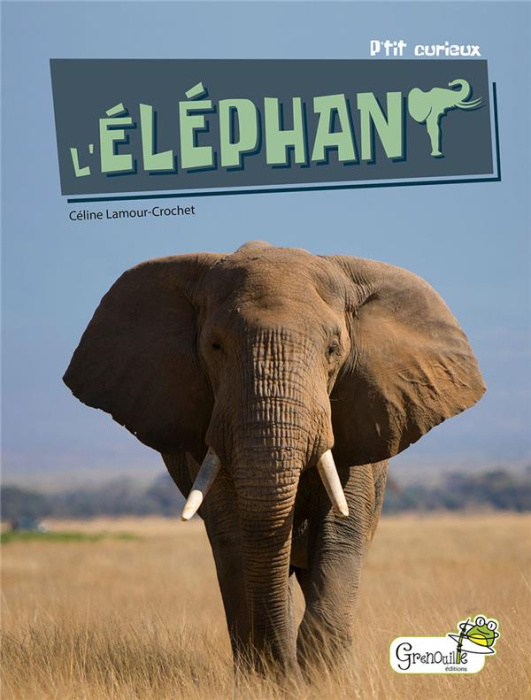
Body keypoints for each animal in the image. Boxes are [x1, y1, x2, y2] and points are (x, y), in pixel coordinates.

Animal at [63, 241, 485, 678]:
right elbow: (235, 536)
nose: (286, 672)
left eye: (333, 349)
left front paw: (324, 678)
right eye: (215, 346)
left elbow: (341, 531)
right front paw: (270, 679)